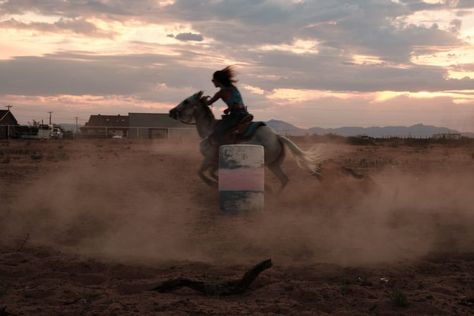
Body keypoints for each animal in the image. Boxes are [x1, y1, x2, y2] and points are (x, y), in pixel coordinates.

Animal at [168, 91, 320, 190]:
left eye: (186, 101)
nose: (171, 112)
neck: (209, 131)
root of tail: (277, 136)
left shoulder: (209, 158)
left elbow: (201, 173)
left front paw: (213, 184)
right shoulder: (214, 161)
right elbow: (210, 173)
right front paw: (217, 182)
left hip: (262, 162)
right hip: (273, 164)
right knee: (284, 179)